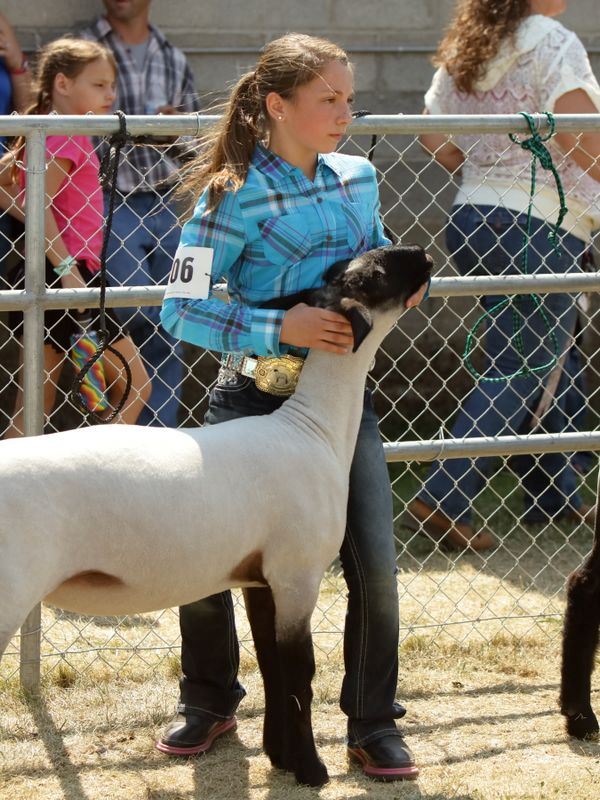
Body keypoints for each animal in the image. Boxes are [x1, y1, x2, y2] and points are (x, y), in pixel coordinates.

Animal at [0, 243, 432, 787]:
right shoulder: (297, 574)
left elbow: (270, 666)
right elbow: (300, 674)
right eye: (373, 274)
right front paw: (311, 769)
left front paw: (281, 756)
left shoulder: (260, 578)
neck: (313, 429)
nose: (423, 255)